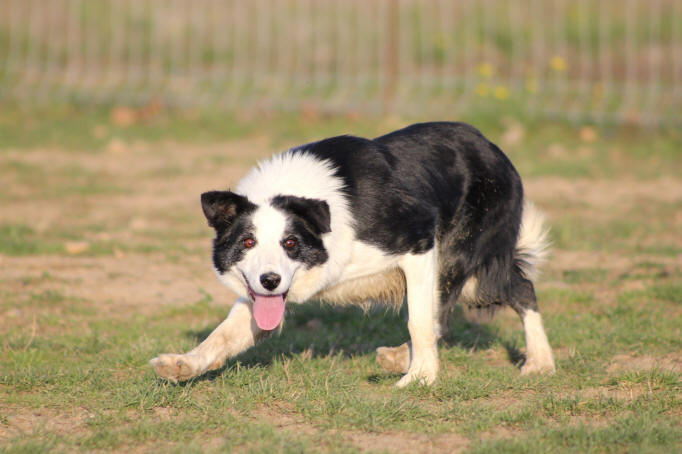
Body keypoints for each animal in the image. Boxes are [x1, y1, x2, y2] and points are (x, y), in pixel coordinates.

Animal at [149, 121, 552, 386]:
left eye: (290, 243)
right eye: (247, 242)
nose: (270, 280)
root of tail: (492, 146)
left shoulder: (419, 244)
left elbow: (420, 320)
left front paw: (420, 378)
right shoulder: (260, 296)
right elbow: (223, 334)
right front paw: (182, 365)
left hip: (461, 264)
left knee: (507, 292)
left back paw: (539, 362)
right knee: (498, 294)